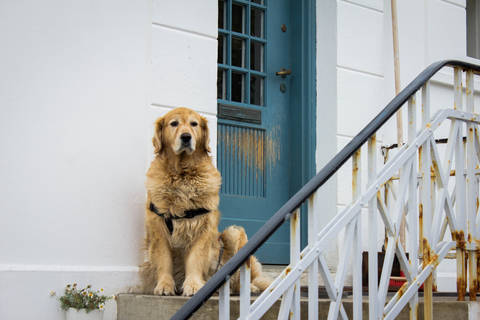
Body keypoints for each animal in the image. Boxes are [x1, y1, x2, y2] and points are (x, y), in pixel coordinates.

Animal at [139, 108, 272, 298]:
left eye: (194, 124)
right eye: (174, 123)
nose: (186, 137)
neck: (182, 175)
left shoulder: (202, 226)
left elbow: (196, 259)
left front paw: (194, 286)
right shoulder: (159, 228)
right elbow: (164, 259)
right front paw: (164, 285)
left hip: (234, 233)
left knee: (243, 278)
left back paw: (248, 288)